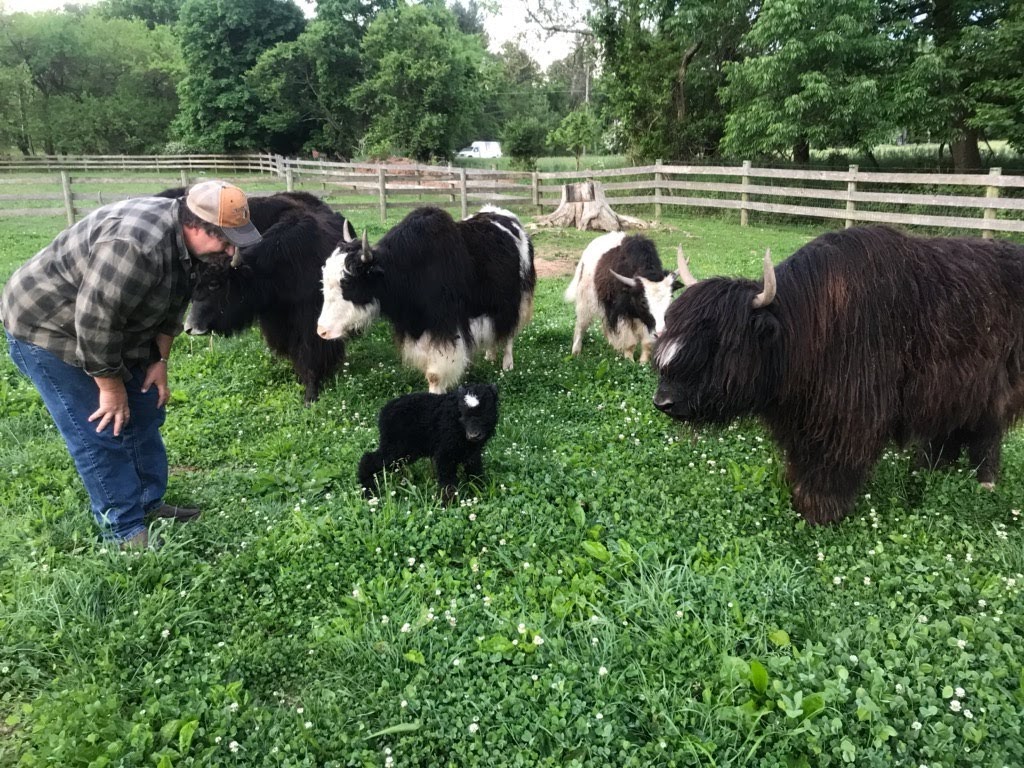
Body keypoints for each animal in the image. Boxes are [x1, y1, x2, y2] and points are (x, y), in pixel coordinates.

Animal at [185, 206, 356, 403]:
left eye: (215, 284)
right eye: (195, 283)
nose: (189, 327)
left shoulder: (312, 323)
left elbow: (311, 354)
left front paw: (311, 395)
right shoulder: (278, 324)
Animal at [316, 205, 536, 393]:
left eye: (348, 283)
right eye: (324, 280)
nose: (322, 331)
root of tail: (507, 217)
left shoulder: (445, 328)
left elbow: (435, 373)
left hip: (517, 299)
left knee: (509, 332)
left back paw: (507, 364)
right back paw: (490, 355)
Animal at [358, 383, 499, 503]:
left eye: (487, 411)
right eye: (462, 414)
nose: (473, 435)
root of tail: (383, 412)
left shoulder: (472, 453)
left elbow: (475, 472)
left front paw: (480, 491)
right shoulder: (444, 453)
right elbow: (447, 480)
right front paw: (448, 503)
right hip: (395, 447)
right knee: (368, 459)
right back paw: (368, 492)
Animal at [564, 232, 682, 363]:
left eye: (670, 297)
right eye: (643, 301)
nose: (661, 333)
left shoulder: (646, 320)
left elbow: (647, 341)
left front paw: (643, 362)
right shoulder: (621, 313)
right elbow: (629, 341)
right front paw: (629, 360)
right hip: (586, 299)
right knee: (581, 324)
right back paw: (576, 352)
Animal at [652, 225, 1024, 525]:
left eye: (721, 341)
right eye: (674, 328)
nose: (664, 401)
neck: (807, 327)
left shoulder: (849, 416)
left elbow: (832, 465)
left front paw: (821, 512)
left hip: (994, 387)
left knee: (987, 433)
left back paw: (984, 481)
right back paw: (930, 469)